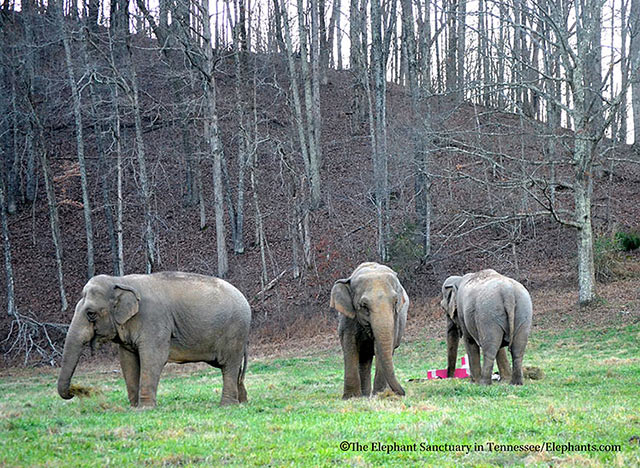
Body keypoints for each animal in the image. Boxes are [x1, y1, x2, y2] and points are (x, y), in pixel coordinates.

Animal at [57, 272, 251, 408]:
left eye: (91, 314)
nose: (74, 392)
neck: (120, 281)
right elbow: (127, 360)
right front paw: (134, 407)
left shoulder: (154, 320)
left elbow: (153, 357)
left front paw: (146, 408)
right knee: (234, 369)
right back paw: (242, 402)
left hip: (234, 331)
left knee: (229, 366)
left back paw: (226, 405)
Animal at [330, 264, 410, 398]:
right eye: (364, 305)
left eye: (396, 302)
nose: (403, 393)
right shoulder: (347, 319)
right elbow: (349, 346)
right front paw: (351, 397)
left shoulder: (395, 320)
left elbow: (381, 348)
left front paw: (380, 394)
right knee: (364, 359)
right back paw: (364, 395)